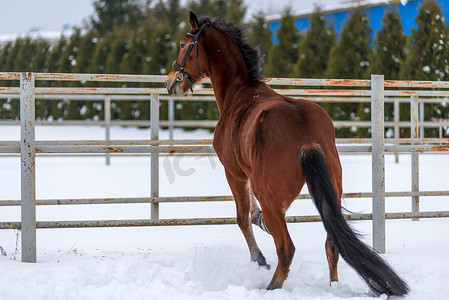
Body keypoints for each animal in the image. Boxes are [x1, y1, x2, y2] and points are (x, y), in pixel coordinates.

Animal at [165, 12, 410, 298]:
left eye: (183, 45)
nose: (171, 82)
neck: (240, 94)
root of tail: (306, 136)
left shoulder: (234, 173)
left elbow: (242, 218)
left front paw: (259, 259)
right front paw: (257, 221)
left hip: (273, 201)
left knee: (286, 248)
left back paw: (271, 286)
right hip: (332, 194)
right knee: (332, 244)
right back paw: (332, 286)